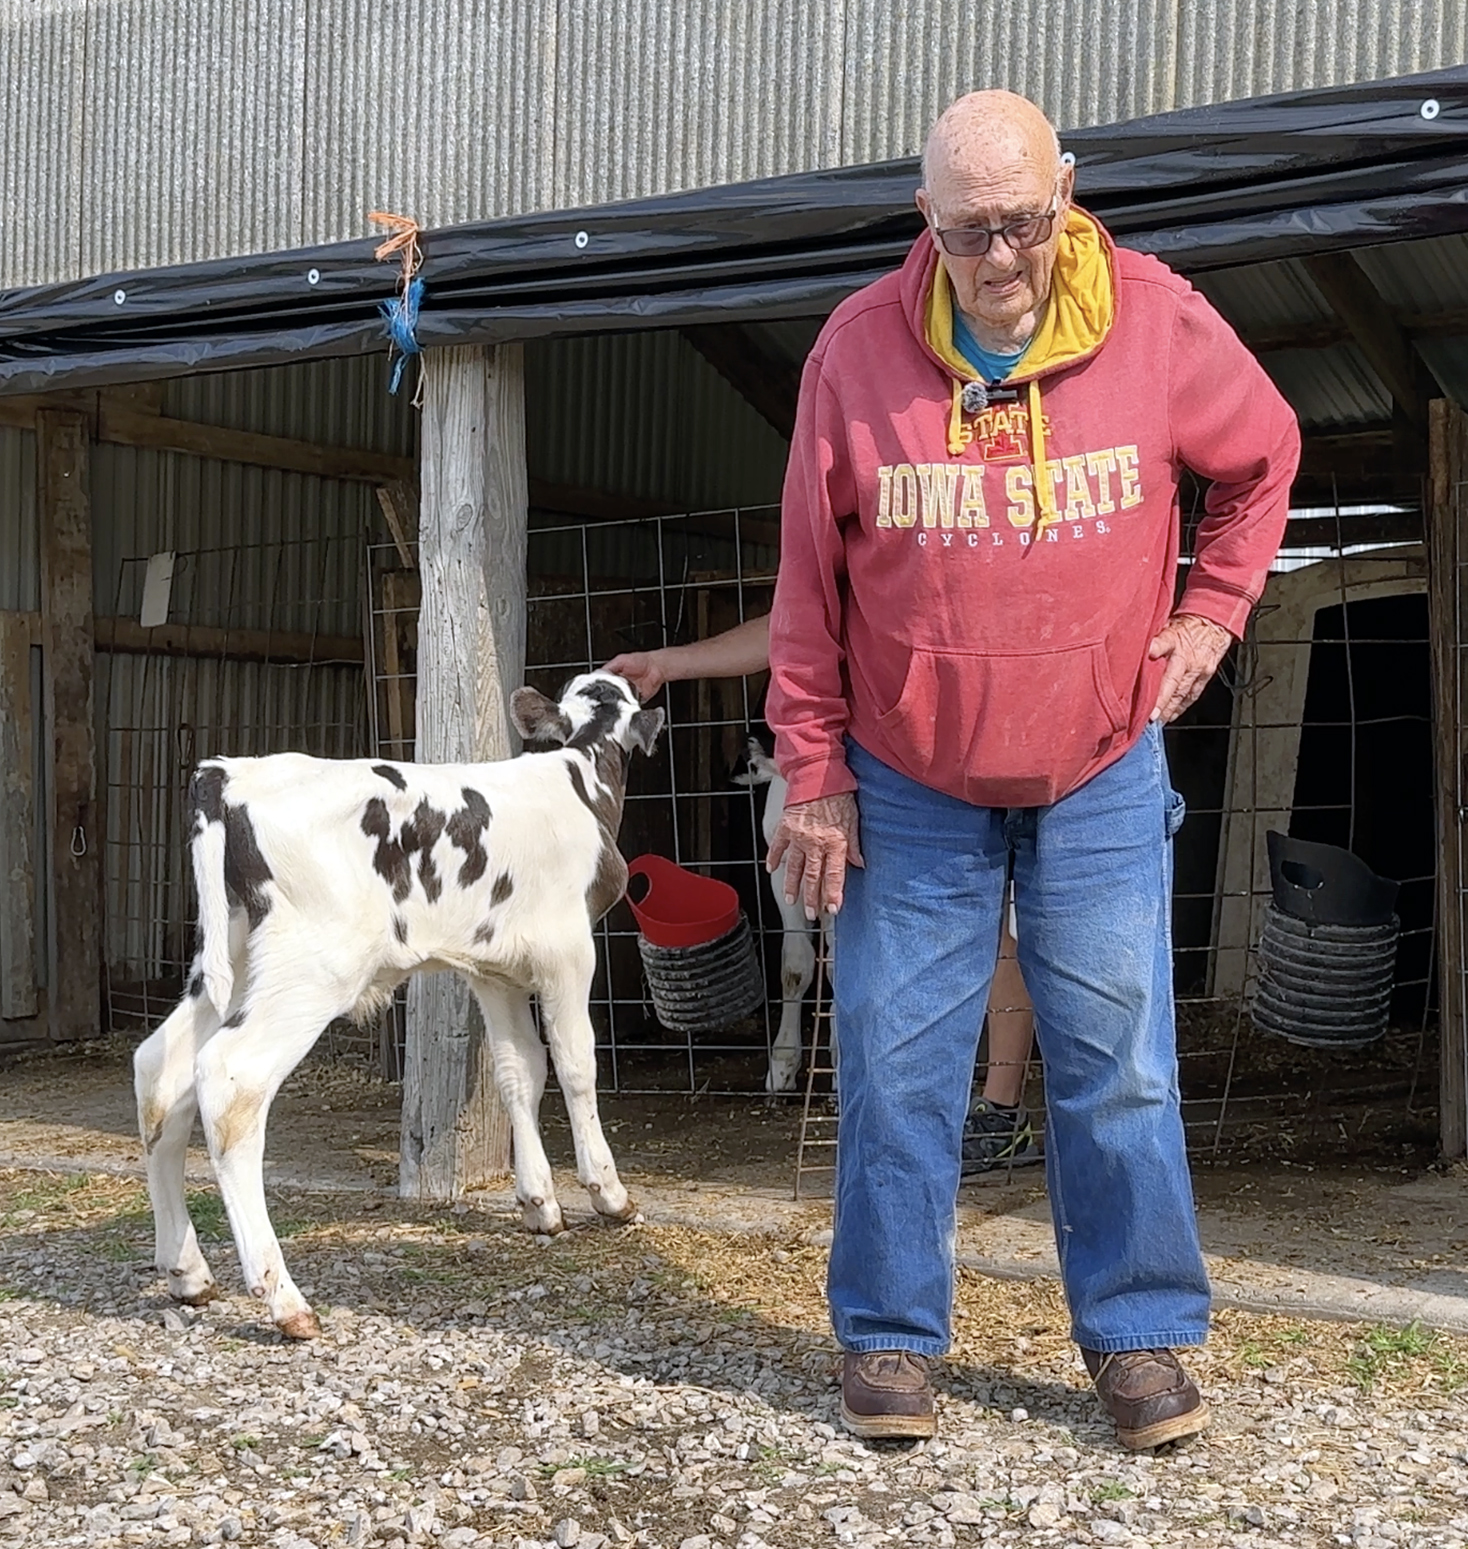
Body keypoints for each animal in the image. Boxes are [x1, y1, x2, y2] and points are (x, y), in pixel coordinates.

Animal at [134, 672, 662, 1338]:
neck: (578, 775)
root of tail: (230, 773)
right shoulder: (568, 953)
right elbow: (575, 1064)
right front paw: (608, 1193)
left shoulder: (495, 969)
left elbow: (520, 1070)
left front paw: (539, 1203)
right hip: (311, 969)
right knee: (231, 1081)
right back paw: (285, 1300)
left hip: (229, 963)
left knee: (159, 1070)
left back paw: (187, 1273)